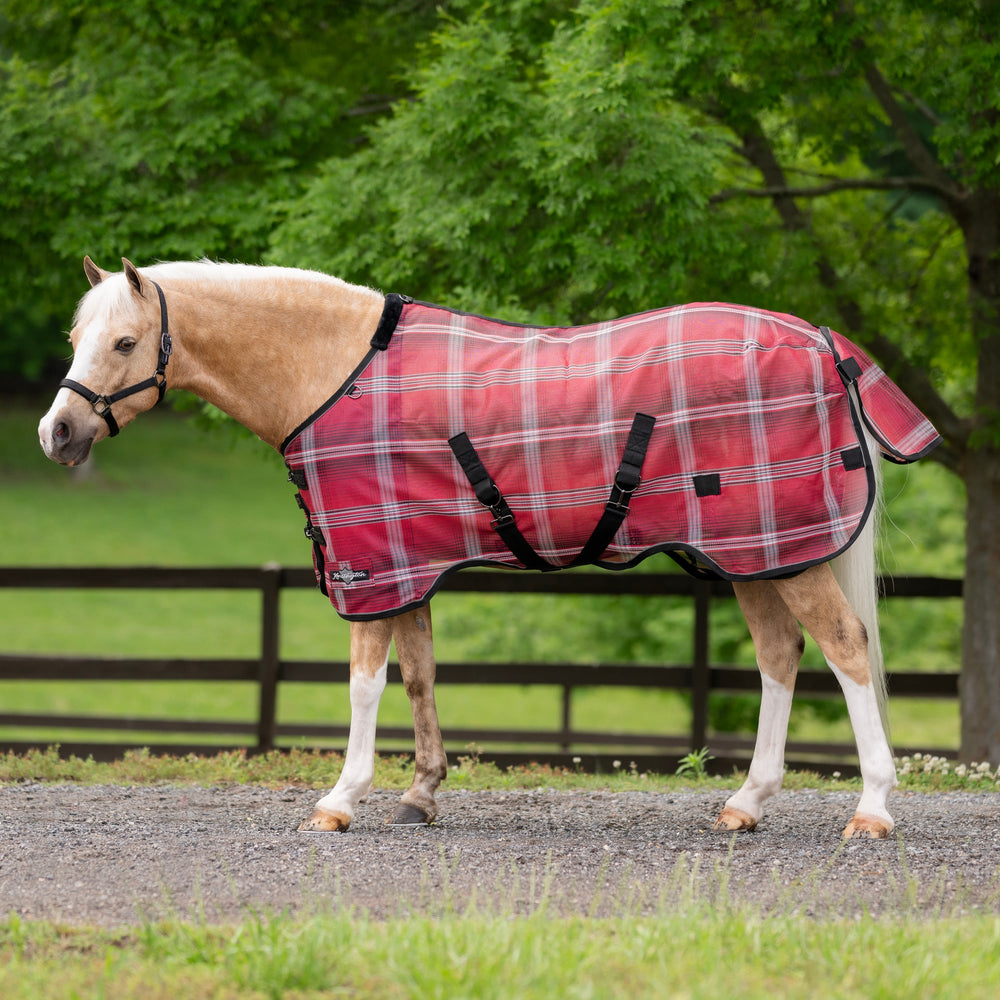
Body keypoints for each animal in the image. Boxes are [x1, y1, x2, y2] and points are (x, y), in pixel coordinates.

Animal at [38, 257, 940, 839]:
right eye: (78, 335)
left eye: (125, 343)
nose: (57, 434)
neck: (330, 372)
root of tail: (823, 341)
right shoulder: (407, 564)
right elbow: (419, 676)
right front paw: (421, 794)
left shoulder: (370, 565)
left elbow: (364, 685)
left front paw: (341, 798)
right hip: (758, 555)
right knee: (780, 656)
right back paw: (746, 804)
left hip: (788, 554)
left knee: (846, 648)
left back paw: (873, 809)